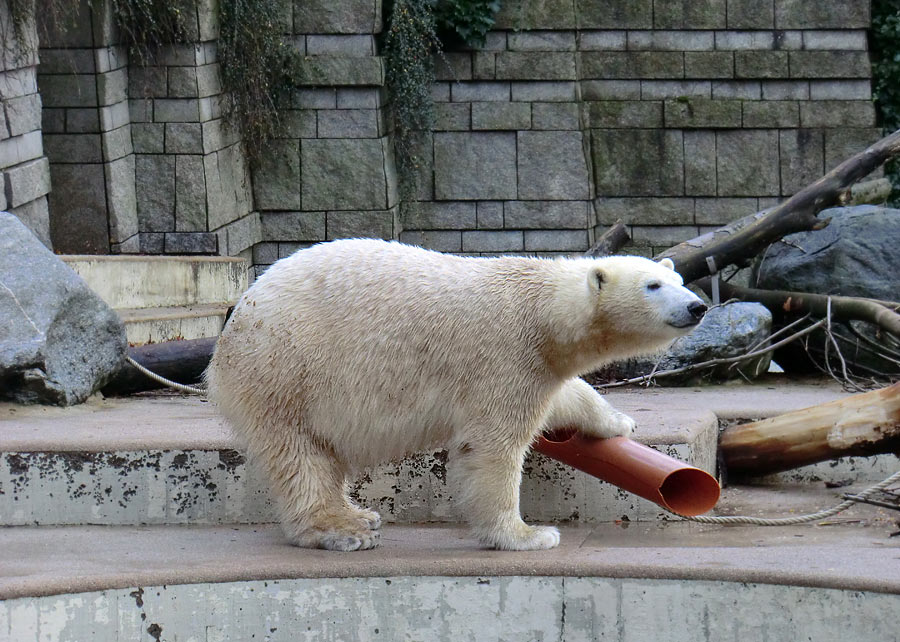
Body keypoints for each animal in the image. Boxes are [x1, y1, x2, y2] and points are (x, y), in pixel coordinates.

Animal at [207, 238, 708, 548]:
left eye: (680, 281)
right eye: (653, 285)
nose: (698, 306)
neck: (541, 311)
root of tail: (232, 325)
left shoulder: (535, 363)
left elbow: (565, 394)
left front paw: (619, 421)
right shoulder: (503, 355)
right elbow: (493, 447)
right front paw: (527, 536)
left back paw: (358, 514)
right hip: (286, 368)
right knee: (299, 453)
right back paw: (342, 530)